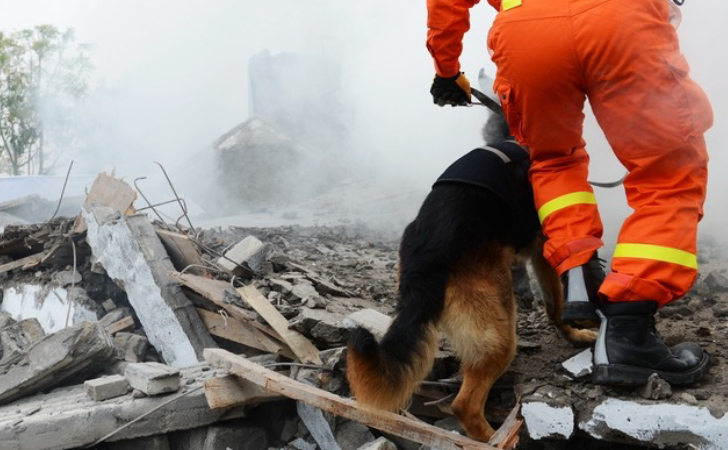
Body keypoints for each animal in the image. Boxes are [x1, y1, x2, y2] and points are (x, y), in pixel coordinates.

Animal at [348, 114, 596, 442]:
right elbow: (556, 302)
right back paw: (495, 438)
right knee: (464, 405)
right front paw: (574, 332)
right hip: (498, 333)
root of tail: (426, 255)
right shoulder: (544, 247)